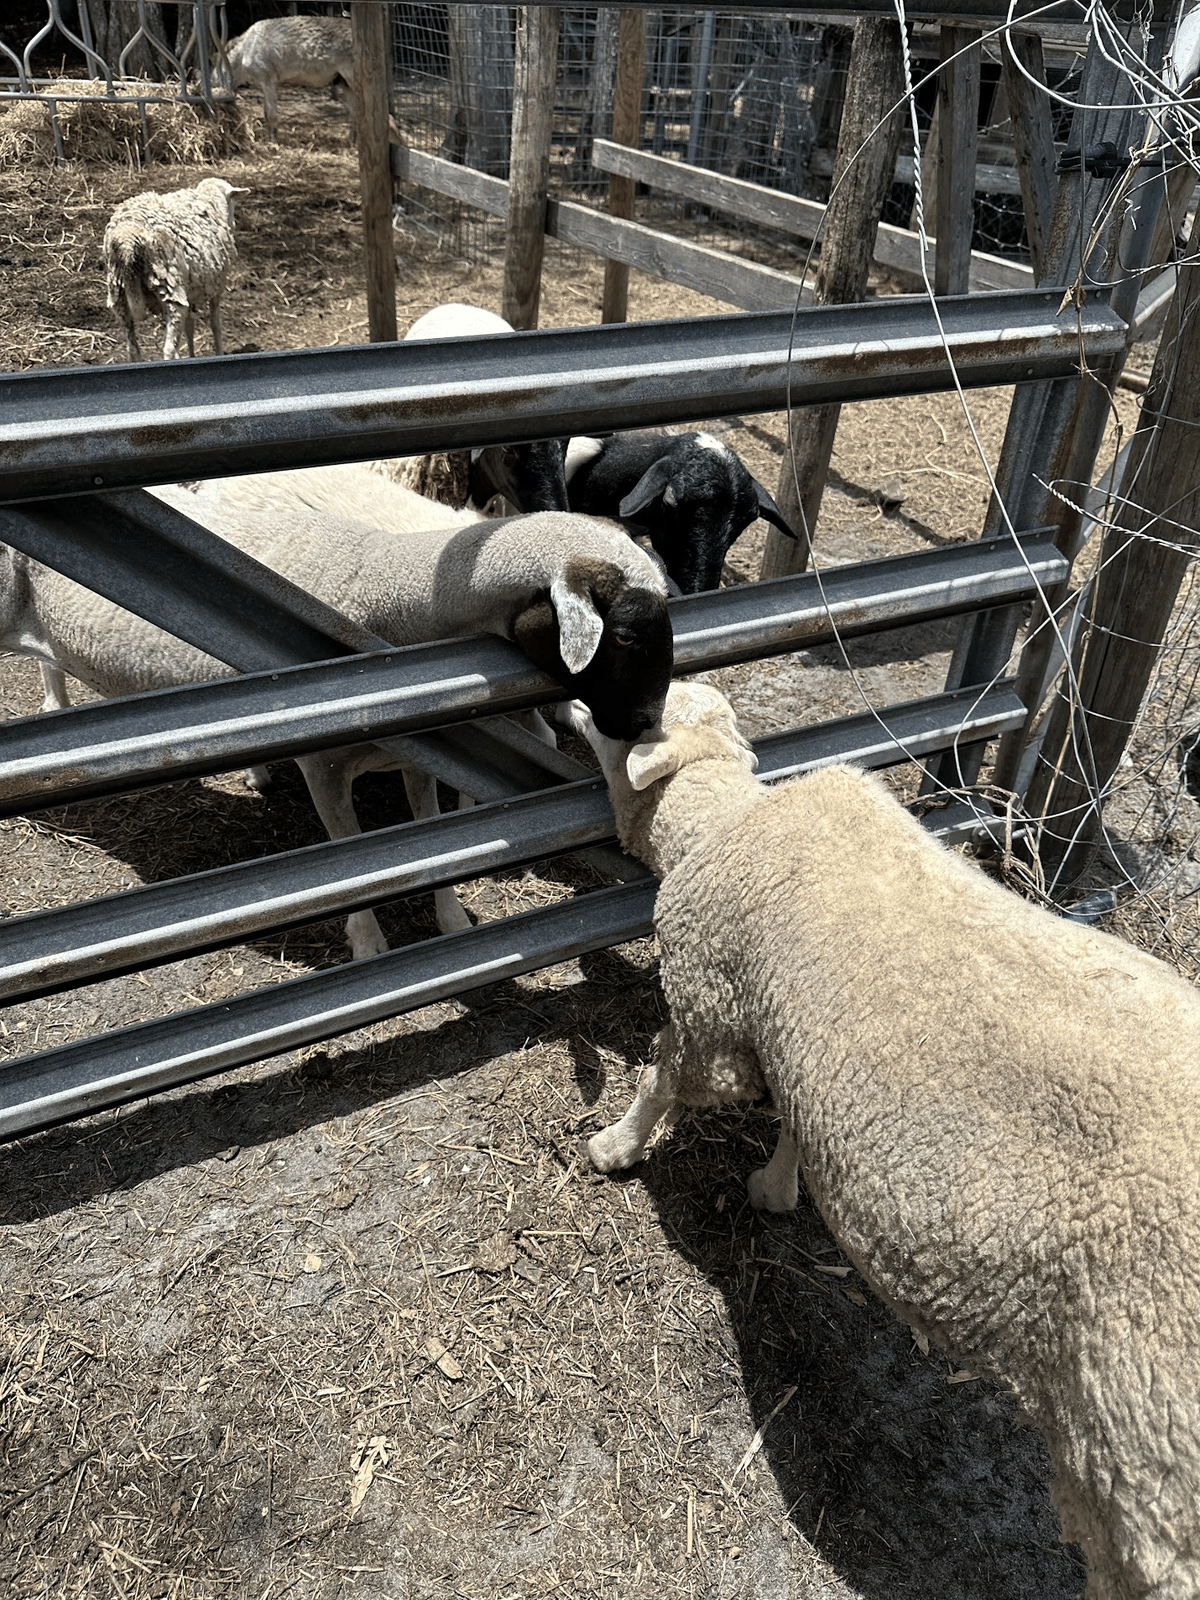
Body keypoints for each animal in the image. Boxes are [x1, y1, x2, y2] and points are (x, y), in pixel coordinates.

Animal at [5, 467, 672, 958]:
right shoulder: (323, 769)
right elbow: (350, 867)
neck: (388, 593)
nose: (646, 727)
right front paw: (370, 944)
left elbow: (437, 841)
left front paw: (452, 920)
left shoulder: (421, 756)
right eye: (627, 636)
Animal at [104, 177, 247, 362]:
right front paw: (219, 352)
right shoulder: (216, 287)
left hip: (118, 291)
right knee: (168, 349)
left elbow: (189, 327)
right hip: (170, 286)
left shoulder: (190, 291)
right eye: (233, 200)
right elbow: (215, 324)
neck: (211, 202)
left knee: (133, 348)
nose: (234, 223)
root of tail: (127, 239)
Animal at [223, 16, 355, 146]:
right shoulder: (264, 84)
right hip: (343, 81)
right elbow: (266, 113)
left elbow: (271, 114)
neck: (245, 50)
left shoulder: (269, 80)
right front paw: (269, 139)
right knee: (354, 111)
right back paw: (352, 142)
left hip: (350, 77)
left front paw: (274, 142)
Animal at [576, 679, 1200, 1600]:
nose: (573, 705)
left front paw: (614, 1146)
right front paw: (776, 1189)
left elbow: (665, 1079)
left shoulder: (712, 1011)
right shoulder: (792, 1042)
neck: (724, 822)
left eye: (634, 717)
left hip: (1140, 1476)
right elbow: (796, 1118)